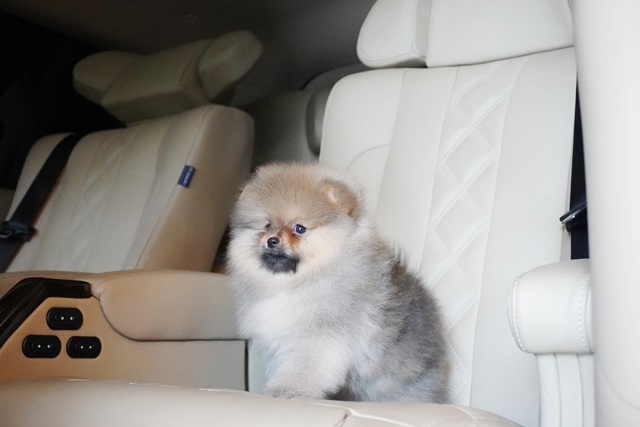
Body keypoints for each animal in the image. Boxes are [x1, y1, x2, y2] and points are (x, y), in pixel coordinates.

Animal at [227, 162, 449, 402]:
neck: (298, 282)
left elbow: (303, 367)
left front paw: (288, 389)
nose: (272, 240)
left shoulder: (321, 337)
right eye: (267, 226)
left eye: (299, 228)